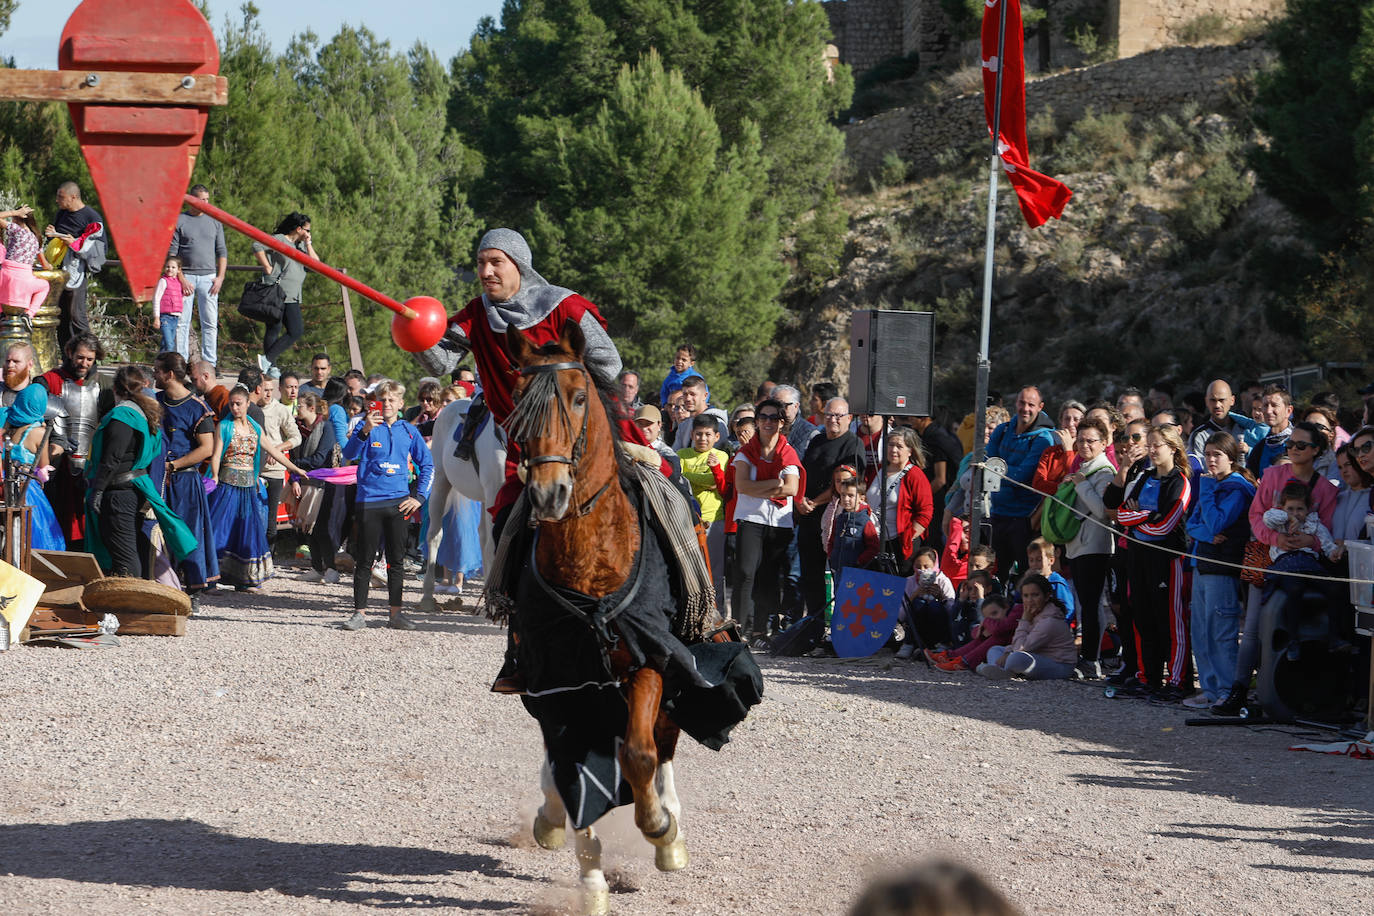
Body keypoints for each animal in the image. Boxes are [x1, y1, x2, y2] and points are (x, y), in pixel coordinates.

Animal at [502, 318, 692, 911]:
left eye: (580, 396)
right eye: (518, 401)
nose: (550, 493)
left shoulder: (650, 657)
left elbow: (640, 753)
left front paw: (659, 827)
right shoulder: (557, 679)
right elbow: (570, 772)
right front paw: (590, 883)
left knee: (664, 737)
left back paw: (670, 827)